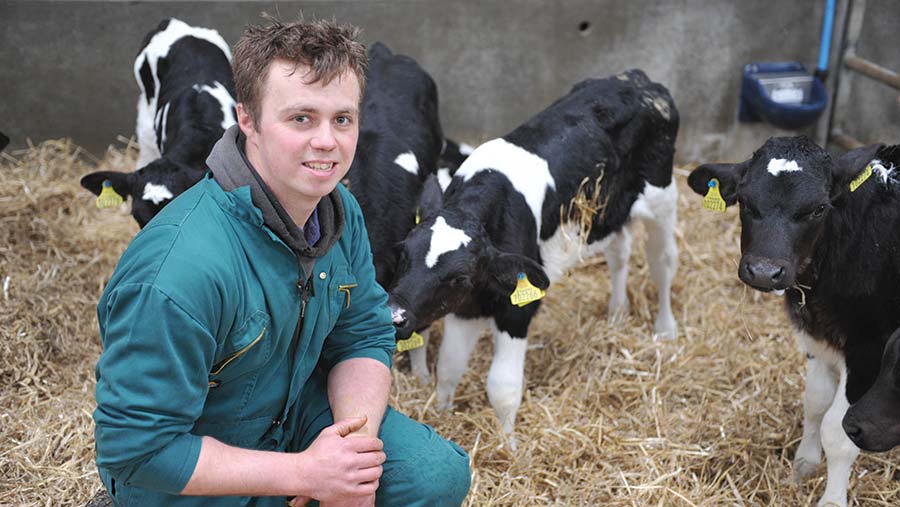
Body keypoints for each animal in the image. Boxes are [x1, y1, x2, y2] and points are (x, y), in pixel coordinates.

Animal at [384, 69, 676, 442]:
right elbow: (449, 368)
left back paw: (666, 329)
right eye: (404, 251)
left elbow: (503, 388)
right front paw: (442, 416)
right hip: (605, 216)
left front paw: (508, 445)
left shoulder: (517, 309)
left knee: (663, 262)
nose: (394, 315)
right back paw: (617, 313)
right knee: (619, 251)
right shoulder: (465, 309)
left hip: (662, 197)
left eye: (459, 277)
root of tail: (637, 79)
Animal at [688, 137, 900, 507]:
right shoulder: (818, 338)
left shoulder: (869, 349)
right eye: (745, 201)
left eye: (818, 209)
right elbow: (815, 401)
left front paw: (832, 500)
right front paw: (804, 464)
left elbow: (839, 431)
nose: (763, 271)